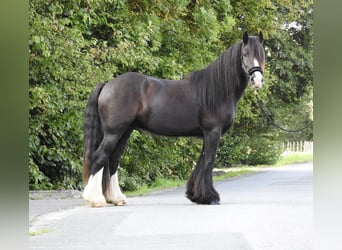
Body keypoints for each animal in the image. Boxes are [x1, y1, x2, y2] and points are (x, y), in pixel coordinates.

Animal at [82, 31, 264, 207]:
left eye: (262, 54)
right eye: (245, 53)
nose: (257, 80)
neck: (217, 91)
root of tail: (107, 85)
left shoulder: (207, 134)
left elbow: (201, 161)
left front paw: (196, 195)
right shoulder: (213, 132)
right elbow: (209, 162)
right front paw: (210, 197)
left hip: (125, 131)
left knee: (112, 160)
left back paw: (116, 198)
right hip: (114, 132)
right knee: (99, 157)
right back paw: (95, 199)